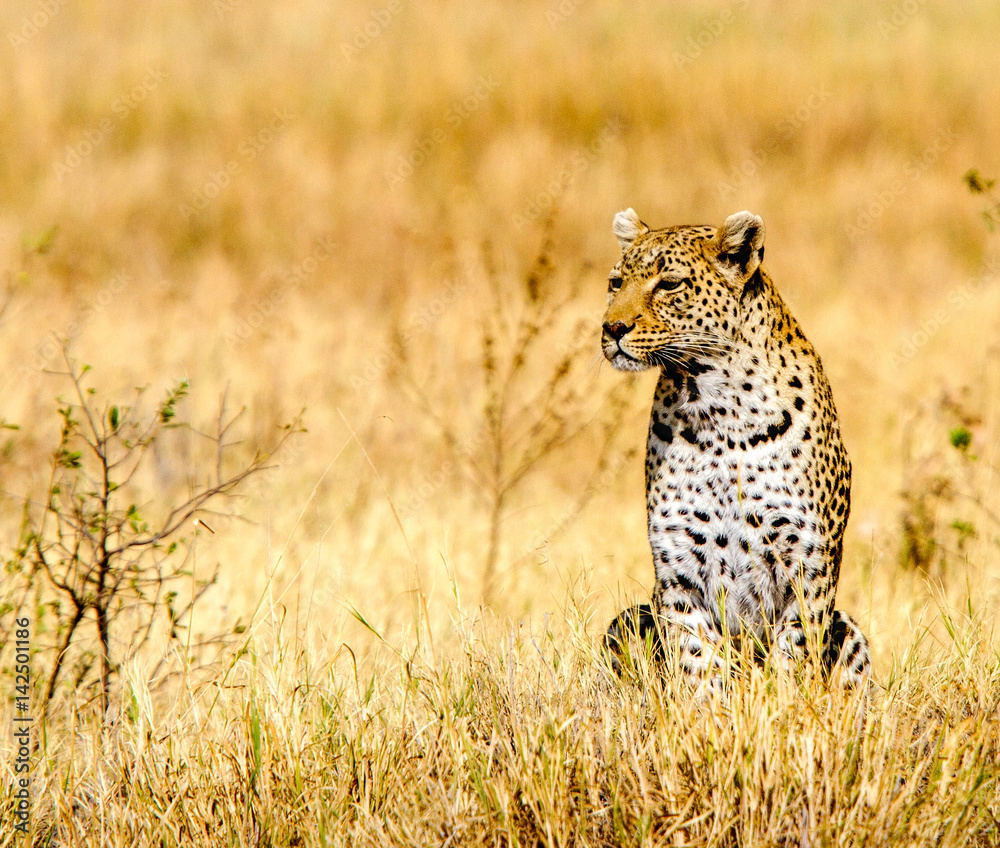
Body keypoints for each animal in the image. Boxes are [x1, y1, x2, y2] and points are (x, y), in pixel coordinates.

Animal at [598, 207, 871, 693]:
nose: (612, 328)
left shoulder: (807, 561)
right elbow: (696, 658)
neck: (716, 408)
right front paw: (708, 708)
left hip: (849, 628)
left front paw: (784, 704)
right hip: (628, 618)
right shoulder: (677, 562)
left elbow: (794, 651)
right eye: (616, 283)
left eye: (669, 284)